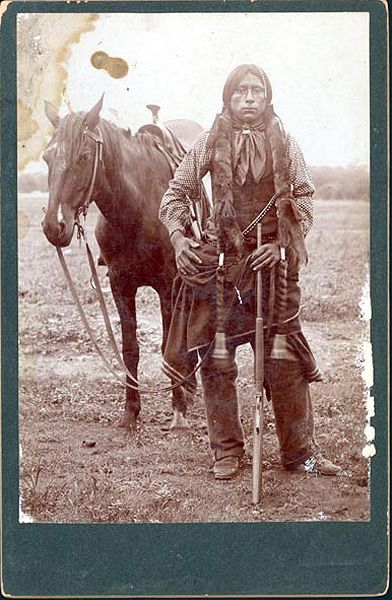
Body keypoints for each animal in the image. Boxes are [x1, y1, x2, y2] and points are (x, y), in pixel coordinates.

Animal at [41, 96, 201, 428]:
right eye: (47, 157)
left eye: (84, 156)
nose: (54, 226)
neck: (136, 208)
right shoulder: (119, 284)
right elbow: (130, 349)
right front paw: (130, 411)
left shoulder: (167, 284)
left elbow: (166, 347)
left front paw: (178, 409)